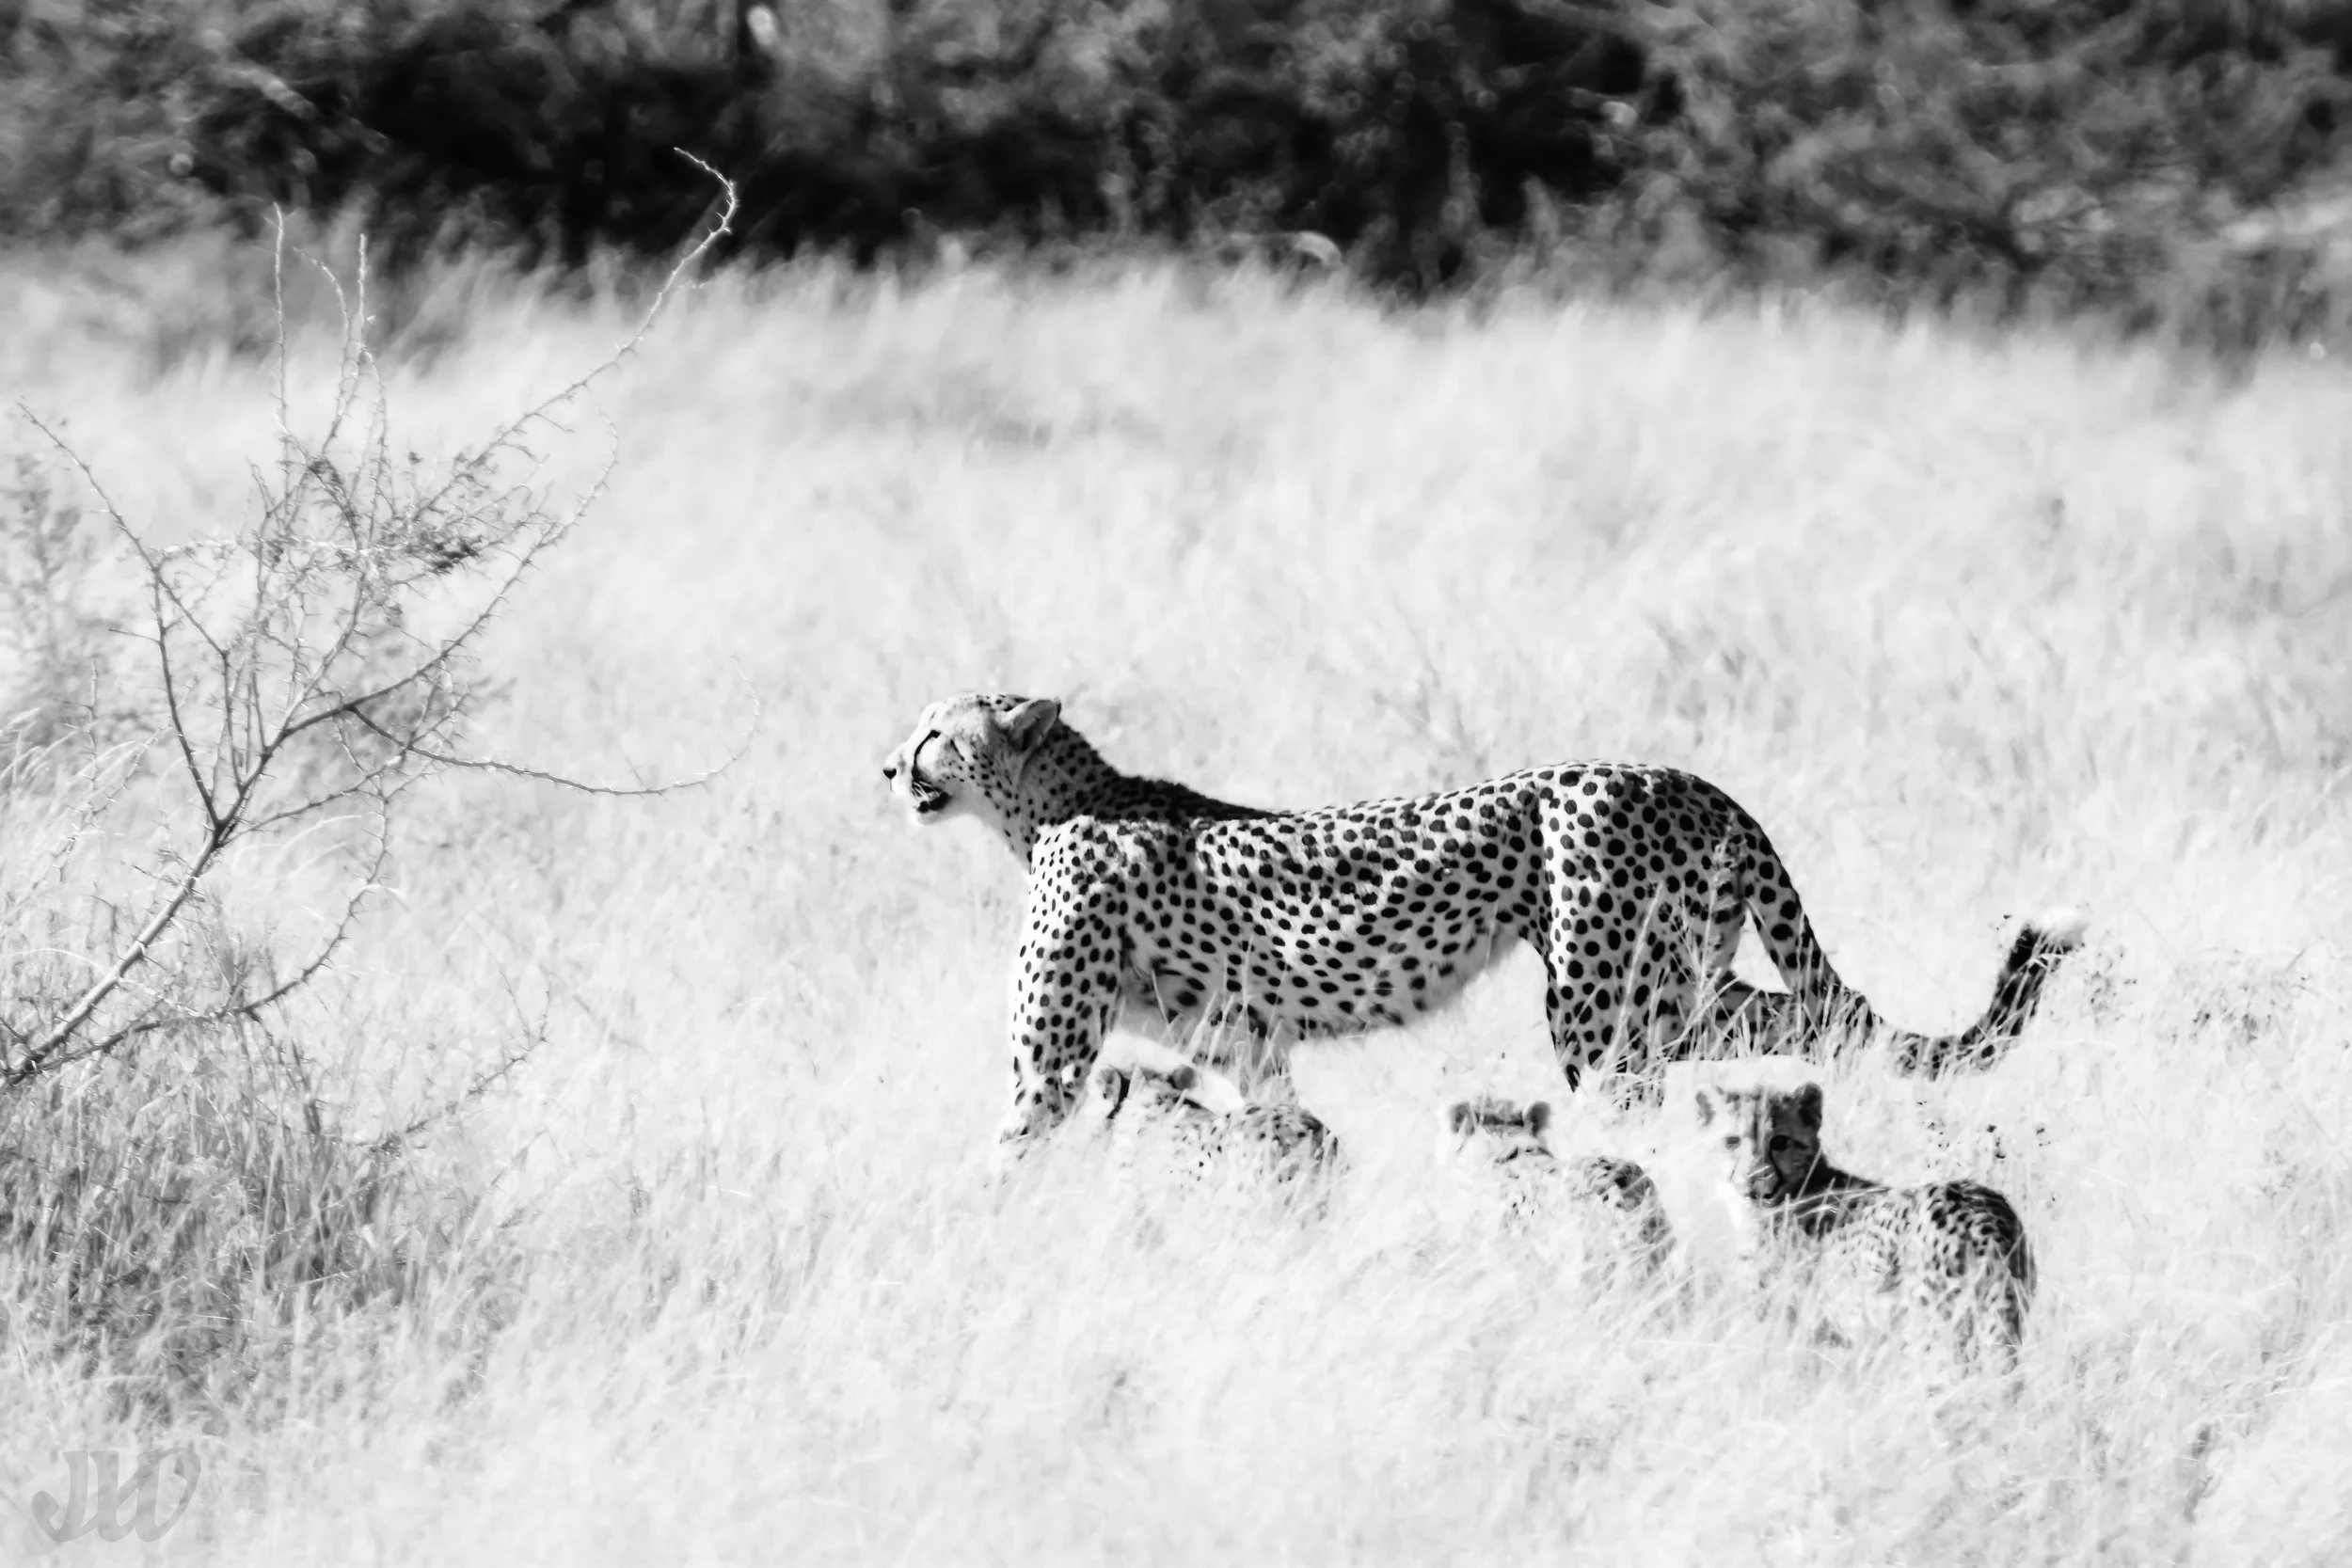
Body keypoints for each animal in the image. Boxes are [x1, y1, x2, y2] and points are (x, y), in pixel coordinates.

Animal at [880, 690, 2086, 1152]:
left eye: (936, 728)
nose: (890, 765)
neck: (1049, 803)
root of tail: (1684, 775)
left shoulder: (1051, 1057)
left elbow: (1010, 1140)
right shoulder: (1246, 1039)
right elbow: (1278, 1121)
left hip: (1600, 1003)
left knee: (1653, 1078)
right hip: (1680, 984)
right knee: (1819, 1018)